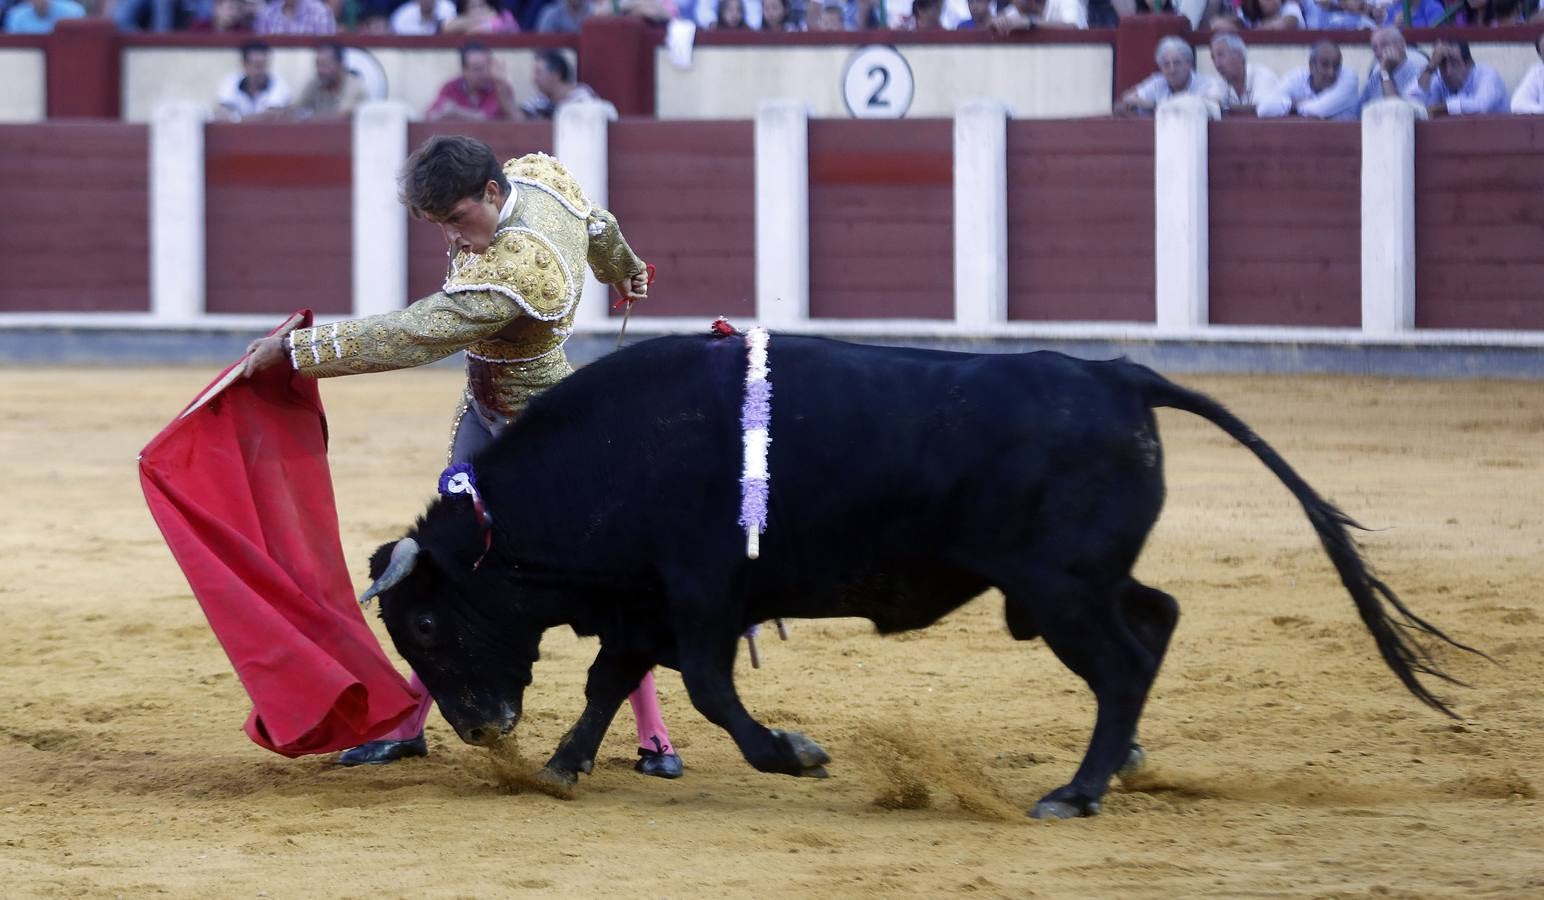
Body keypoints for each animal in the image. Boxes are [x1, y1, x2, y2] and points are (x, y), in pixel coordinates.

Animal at [355, 334, 1476, 821]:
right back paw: (1118, 766)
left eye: (429, 628)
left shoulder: (700, 592)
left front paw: (795, 753)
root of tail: (1116, 373)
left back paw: (1074, 792)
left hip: (1059, 589)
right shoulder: (642, 599)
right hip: (1079, 580)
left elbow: (712, 689)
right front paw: (559, 767)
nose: (479, 730)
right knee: (1155, 621)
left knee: (1121, 660)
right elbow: (606, 682)